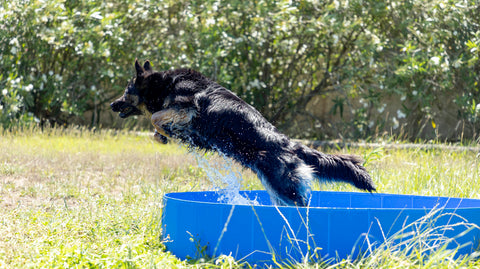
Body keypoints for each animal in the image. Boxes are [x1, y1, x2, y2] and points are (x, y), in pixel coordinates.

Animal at [111, 59, 376, 205]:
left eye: (126, 91)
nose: (112, 104)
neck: (165, 84)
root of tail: (290, 145)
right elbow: (157, 123)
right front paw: (164, 136)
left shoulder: (187, 109)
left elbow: (155, 117)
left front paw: (164, 132)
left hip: (283, 184)